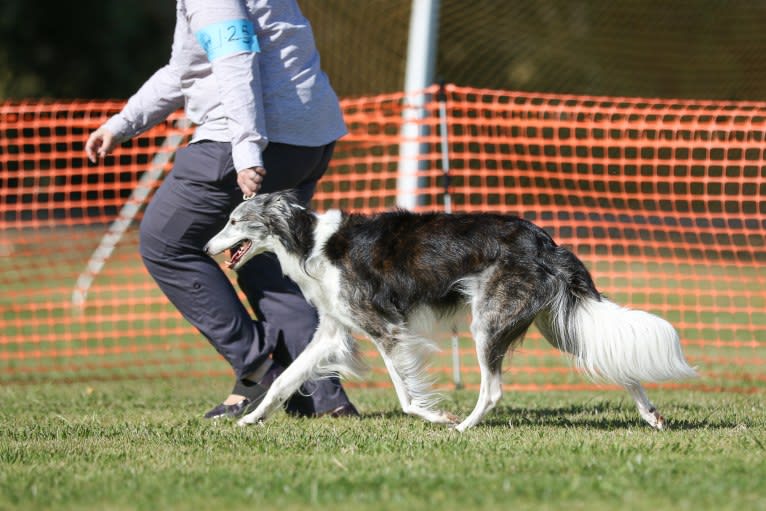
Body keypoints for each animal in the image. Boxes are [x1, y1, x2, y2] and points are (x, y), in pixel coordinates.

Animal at [206, 190, 704, 430]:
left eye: (233, 220)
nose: (208, 247)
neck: (309, 242)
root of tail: (546, 242)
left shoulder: (385, 328)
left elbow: (407, 398)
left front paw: (437, 417)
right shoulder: (333, 331)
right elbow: (283, 381)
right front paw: (249, 418)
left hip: (490, 323)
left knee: (494, 390)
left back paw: (462, 428)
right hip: (556, 324)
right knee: (617, 363)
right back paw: (652, 416)